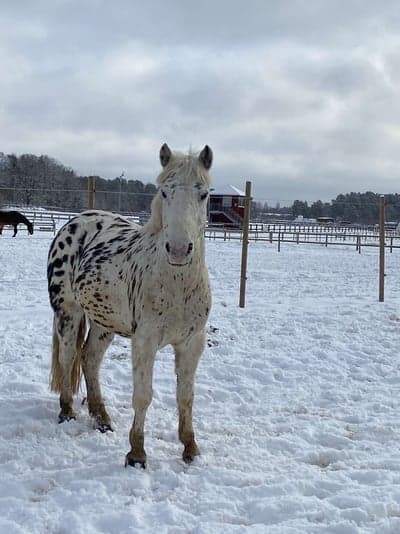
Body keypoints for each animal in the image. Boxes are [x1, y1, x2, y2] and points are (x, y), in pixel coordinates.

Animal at [47, 144, 212, 466]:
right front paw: (136, 453)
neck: (176, 285)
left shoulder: (191, 343)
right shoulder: (145, 341)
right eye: (164, 192)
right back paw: (67, 412)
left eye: (204, 194)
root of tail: (75, 222)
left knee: (89, 359)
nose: (178, 249)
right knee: (68, 357)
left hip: (103, 322)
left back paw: (101, 418)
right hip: (68, 313)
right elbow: (143, 395)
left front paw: (190, 448)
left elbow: (186, 397)